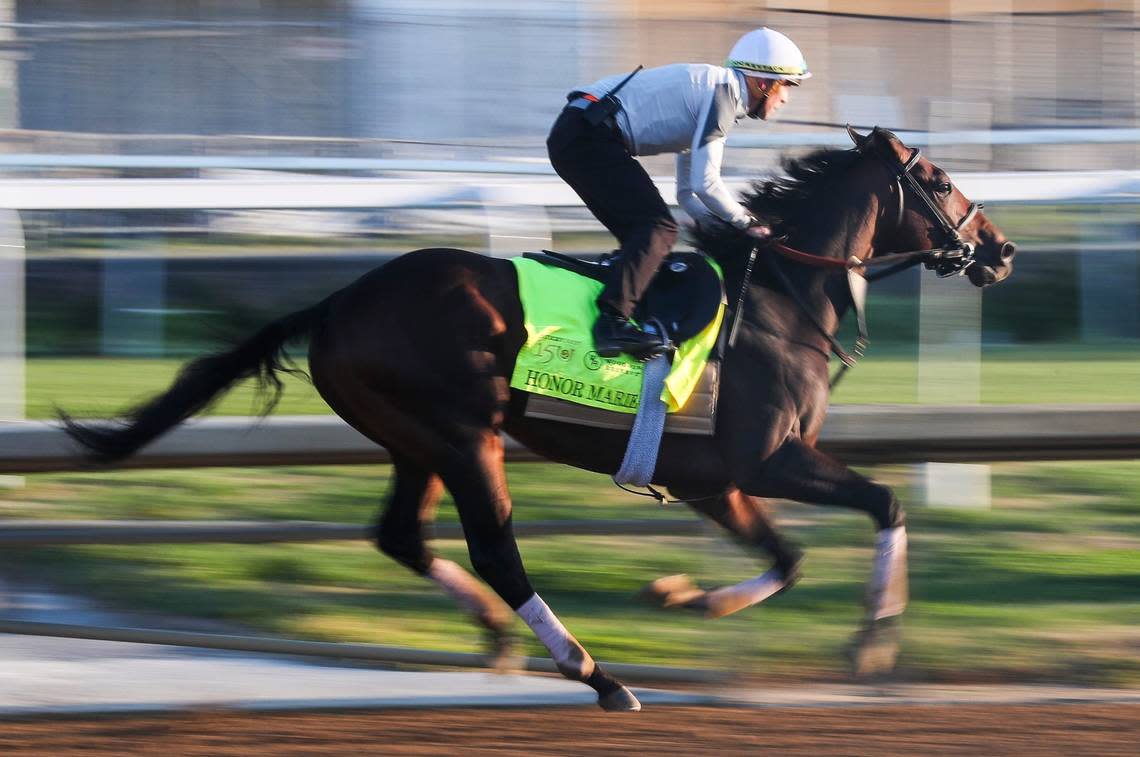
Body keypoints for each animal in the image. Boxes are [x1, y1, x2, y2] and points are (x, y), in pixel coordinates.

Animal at [64, 127, 1016, 711]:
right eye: (937, 179)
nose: (1000, 249)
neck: (782, 296)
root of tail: (339, 299)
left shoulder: (710, 478)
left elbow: (786, 557)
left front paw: (687, 596)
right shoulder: (767, 458)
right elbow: (884, 505)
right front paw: (872, 643)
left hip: (414, 439)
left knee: (402, 535)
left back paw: (495, 630)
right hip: (466, 436)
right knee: (497, 549)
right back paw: (594, 671)